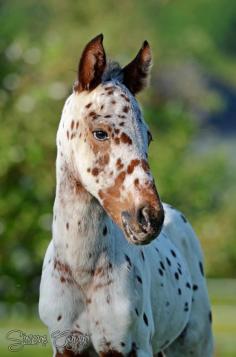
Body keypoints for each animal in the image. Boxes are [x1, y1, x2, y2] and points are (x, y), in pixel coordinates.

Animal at [39, 34, 214, 356]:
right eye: (100, 132)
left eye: (149, 136)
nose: (148, 218)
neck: (83, 271)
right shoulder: (65, 346)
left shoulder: (130, 346)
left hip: (195, 344)